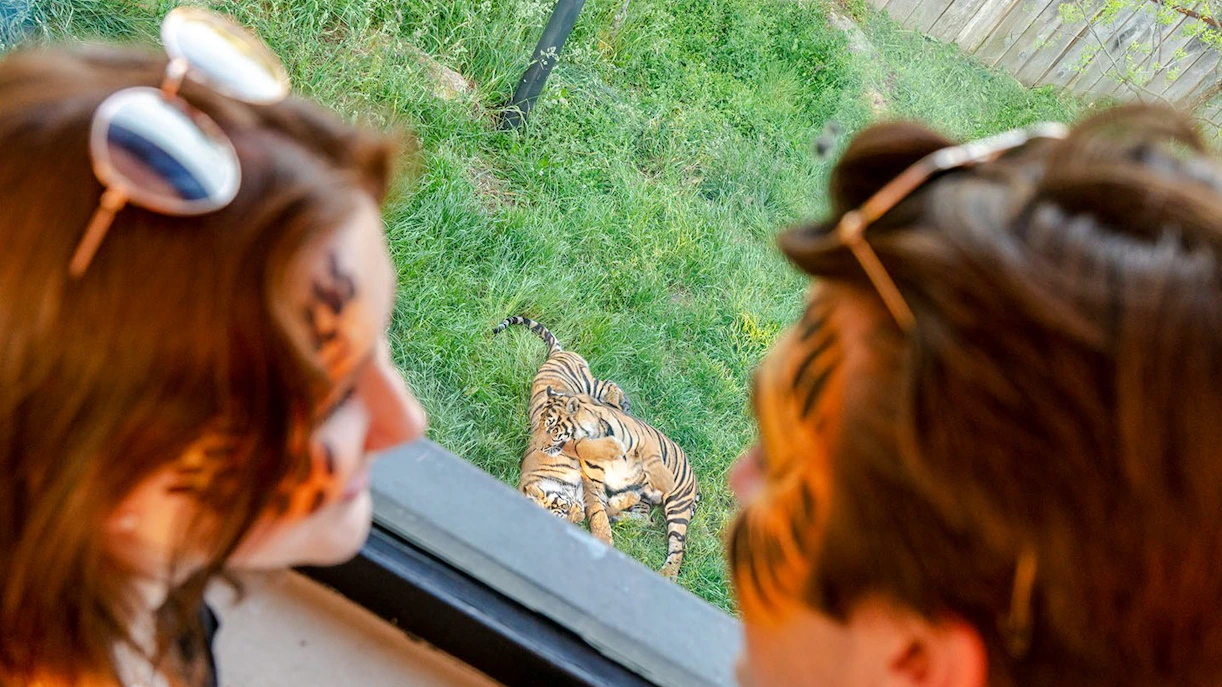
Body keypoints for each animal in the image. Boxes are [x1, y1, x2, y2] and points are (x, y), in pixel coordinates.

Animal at [493, 316, 633, 524]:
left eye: (564, 508)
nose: (579, 516)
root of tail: (554, 355)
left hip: (588, 384)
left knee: (609, 384)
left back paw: (620, 403)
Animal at [539, 387, 699, 579]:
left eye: (552, 429)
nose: (540, 447)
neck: (595, 433)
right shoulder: (593, 482)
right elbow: (597, 514)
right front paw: (603, 539)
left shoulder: (645, 440)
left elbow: (653, 459)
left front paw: (664, 479)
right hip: (643, 497)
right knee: (645, 519)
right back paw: (616, 514)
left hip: (678, 506)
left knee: (678, 547)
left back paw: (668, 573)